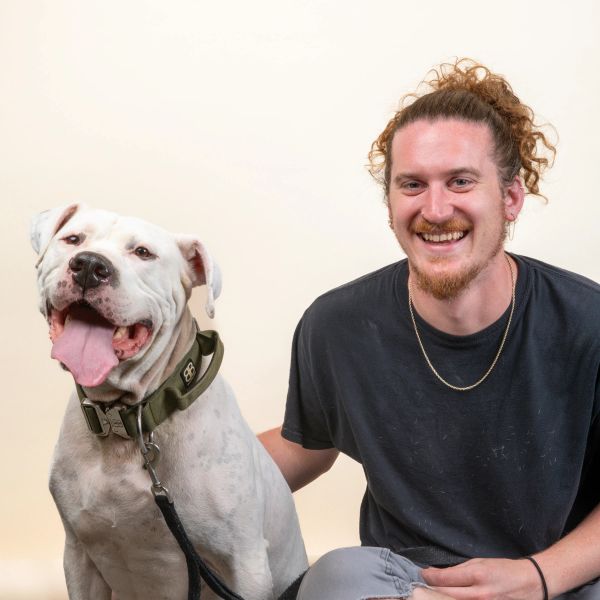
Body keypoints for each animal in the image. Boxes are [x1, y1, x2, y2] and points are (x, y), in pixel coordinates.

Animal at [30, 204, 308, 596]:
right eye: (73, 239)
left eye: (143, 252)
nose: (89, 265)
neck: (125, 422)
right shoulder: (79, 558)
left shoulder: (245, 564)